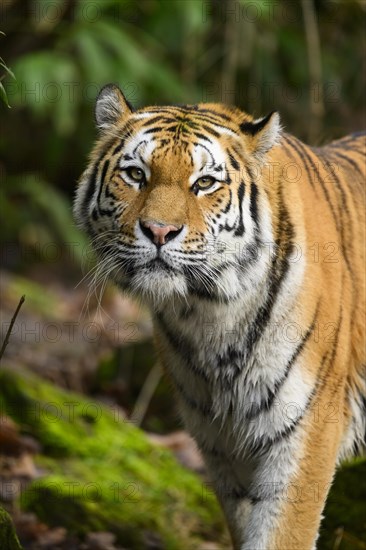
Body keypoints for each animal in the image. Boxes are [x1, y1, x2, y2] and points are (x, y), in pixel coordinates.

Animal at [73, 84, 364, 548]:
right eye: (136, 174)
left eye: (205, 183)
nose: (158, 231)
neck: (210, 313)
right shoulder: (223, 441)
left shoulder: (308, 431)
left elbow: (281, 533)